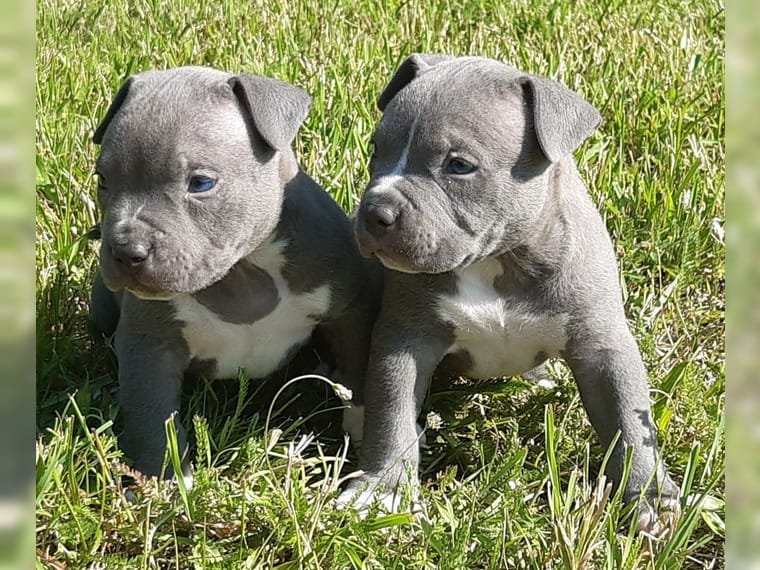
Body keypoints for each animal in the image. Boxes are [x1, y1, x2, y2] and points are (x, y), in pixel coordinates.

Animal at [90, 66, 378, 480]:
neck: (241, 271)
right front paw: (164, 482)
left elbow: (358, 372)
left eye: (201, 183)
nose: (127, 250)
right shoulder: (149, 343)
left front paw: (362, 433)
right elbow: (152, 416)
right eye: (102, 181)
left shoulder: (349, 311)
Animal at [338, 53, 676, 524]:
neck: (498, 261)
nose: (375, 212)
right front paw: (382, 489)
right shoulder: (404, 339)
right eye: (375, 150)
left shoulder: (603, 347)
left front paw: (647, 497)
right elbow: (392, 413)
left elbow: (629, 418)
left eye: (459, 165)